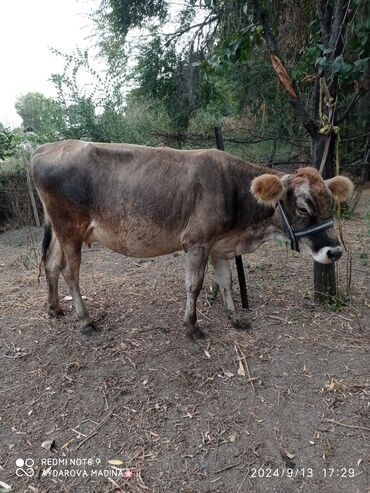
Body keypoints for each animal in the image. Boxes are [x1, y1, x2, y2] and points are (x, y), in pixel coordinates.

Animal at [30, 140, 354, 336]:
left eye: (330, 205)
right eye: (302, 207)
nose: (335, 252)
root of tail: (47, 147)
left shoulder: (220, 246)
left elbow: (227, 282)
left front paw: (235, 319)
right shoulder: (197, 242)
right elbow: (194, 285)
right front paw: (191, 326)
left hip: (59, 230)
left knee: (50, 264)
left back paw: (55, 309)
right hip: (70, 227)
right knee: (69, 271)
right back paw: (85, 321)